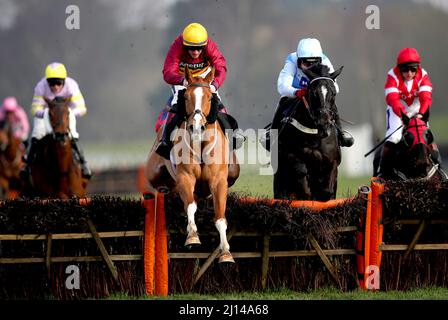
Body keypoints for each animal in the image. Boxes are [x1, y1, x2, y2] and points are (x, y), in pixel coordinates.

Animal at [146, 67, 238, 262]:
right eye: (186, 97)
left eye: (209, 97)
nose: (196, 127)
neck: (201, 143)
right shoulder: (185, 177)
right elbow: (190, 206)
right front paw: (193, 237)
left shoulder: (219, 181)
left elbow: (220, 218)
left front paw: (225, 253)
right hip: (156, 173)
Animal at [272, 63, 344, 200]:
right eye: (313, 92)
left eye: (333, 92)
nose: (323, 121)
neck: (315, 135)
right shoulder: (291, 156)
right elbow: (303, 181)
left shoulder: (332, 162)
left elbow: (326, 192)